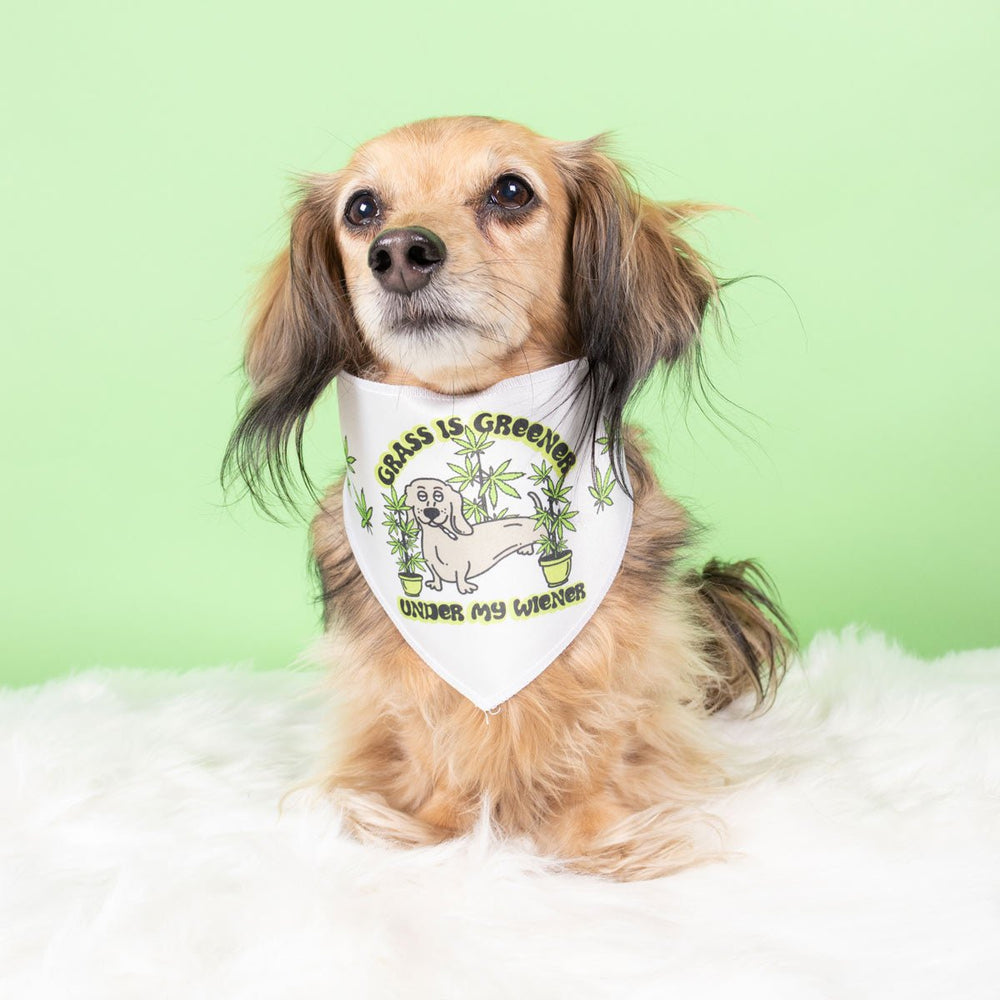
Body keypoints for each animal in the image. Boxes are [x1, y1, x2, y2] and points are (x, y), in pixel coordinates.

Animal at [402, 478, 540, 592]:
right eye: (421, 496)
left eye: (439, 496)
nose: (431, 512)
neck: (440, 539)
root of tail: (535, 519)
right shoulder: (430, 564)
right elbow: (435, 575)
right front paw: (435, 585)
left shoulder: (462, 566)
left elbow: (460, 576)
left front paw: (464, 587)